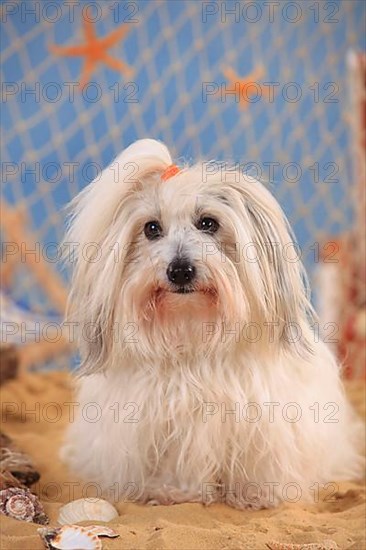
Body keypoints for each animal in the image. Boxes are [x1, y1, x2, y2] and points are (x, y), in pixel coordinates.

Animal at [62, 140, 364, 512]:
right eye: (151, 228)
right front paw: (173, 491)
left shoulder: (262, 417)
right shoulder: (160, 422)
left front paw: (257, 494)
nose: (179, 270)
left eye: (208, 223)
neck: (193, 331)